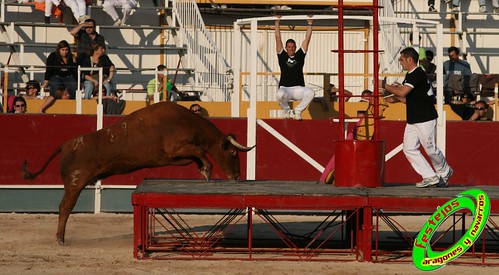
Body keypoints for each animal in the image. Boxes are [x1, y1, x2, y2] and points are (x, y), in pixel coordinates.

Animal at [20, 102, 254, 247]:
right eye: (233, 152)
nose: (237, 175)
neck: (188, 121)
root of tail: (66, 144)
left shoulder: (174, 155)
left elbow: (196, 155)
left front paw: (203, 168)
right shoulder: (175, 149)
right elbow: (200, 152)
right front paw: (206, 169)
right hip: (75, 183)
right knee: (65, 207)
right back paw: (60, 239)